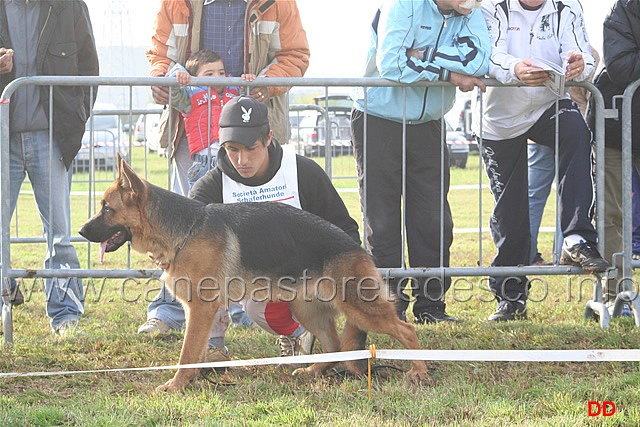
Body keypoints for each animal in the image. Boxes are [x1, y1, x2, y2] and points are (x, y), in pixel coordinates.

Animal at [81, 155, 430, 392]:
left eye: (107, 208)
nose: (83, 231)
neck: (184, 231)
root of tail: (357, 248)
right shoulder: (199, 311)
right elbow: (195, 349)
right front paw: (191, 379)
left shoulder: (201, 309)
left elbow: (187, 352)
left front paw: (177, 385)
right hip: (308, 310)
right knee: (334, 347)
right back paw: (312, 372)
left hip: (359, 308)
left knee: (406, 330)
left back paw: (420, 372)